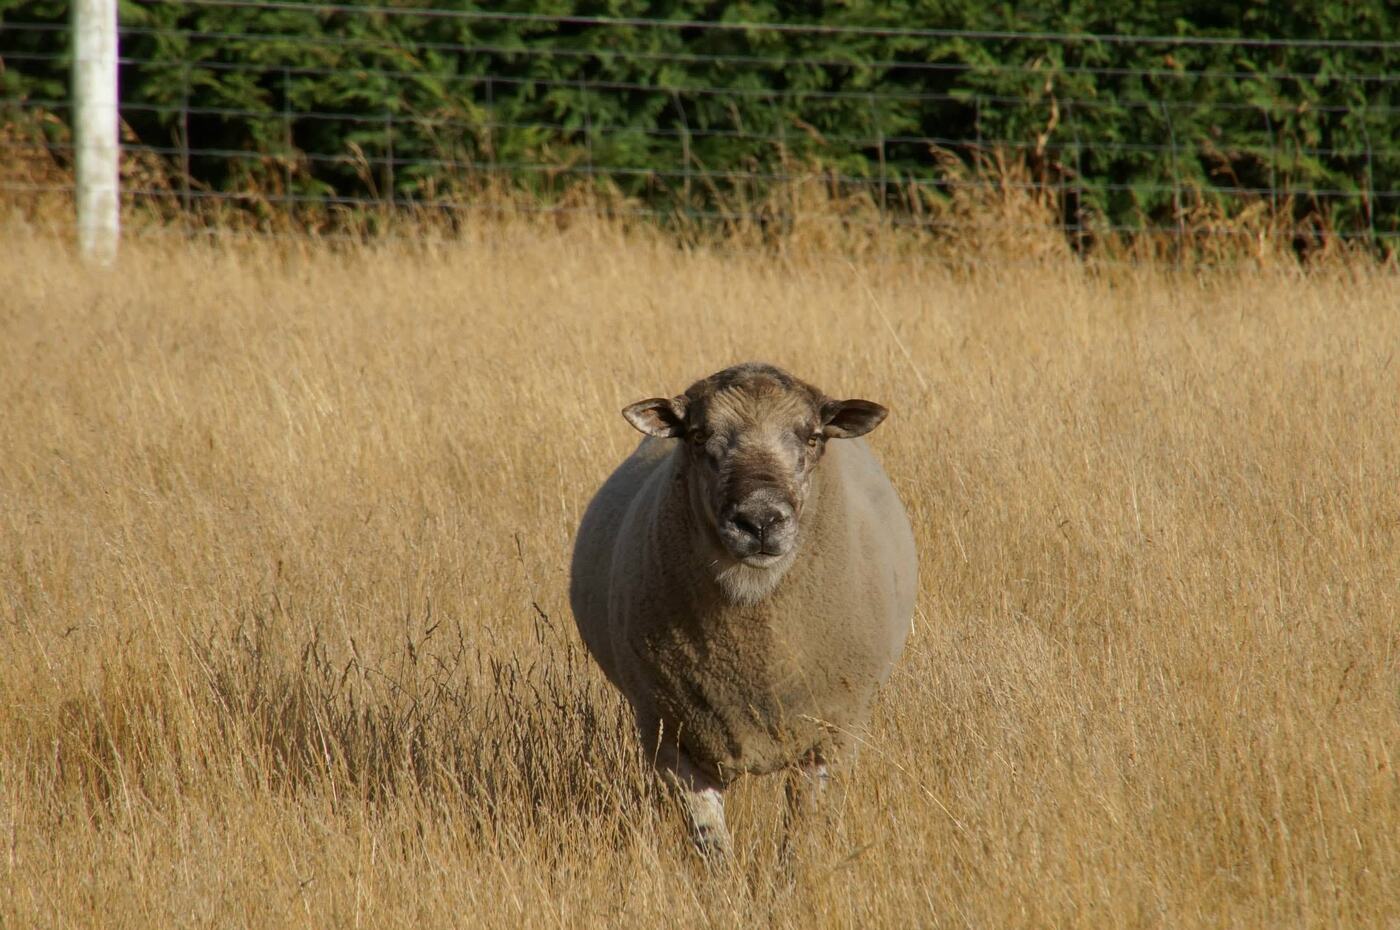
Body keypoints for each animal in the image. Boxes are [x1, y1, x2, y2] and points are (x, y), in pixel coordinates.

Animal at [569, 362, 917, 857]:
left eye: (813, 437)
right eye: (698, 436)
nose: (760, 521)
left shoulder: (829, 736)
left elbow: (802, 839)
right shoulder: (672, 739)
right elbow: (711, 846)